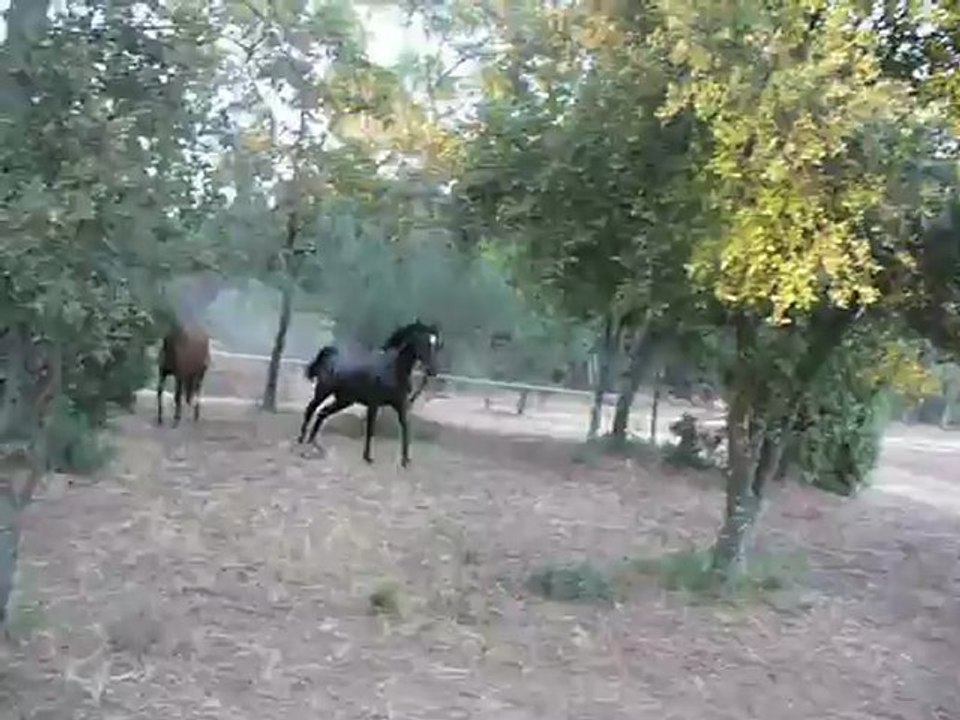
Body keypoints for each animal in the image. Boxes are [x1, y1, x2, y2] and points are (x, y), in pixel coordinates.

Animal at [297, 320, 441, 467]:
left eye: (436, 345)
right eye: (424, 343)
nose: (433, 371)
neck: (392, 370)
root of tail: (330, 355)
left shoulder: (400, 405)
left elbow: (405, 427)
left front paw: (405, 460)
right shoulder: (374, 404)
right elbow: (371, 430)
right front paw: (368, 457)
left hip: (344, 401)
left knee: (322, 413)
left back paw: (312, 441)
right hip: (323, 392)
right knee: (311, 408)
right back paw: (302, 438)